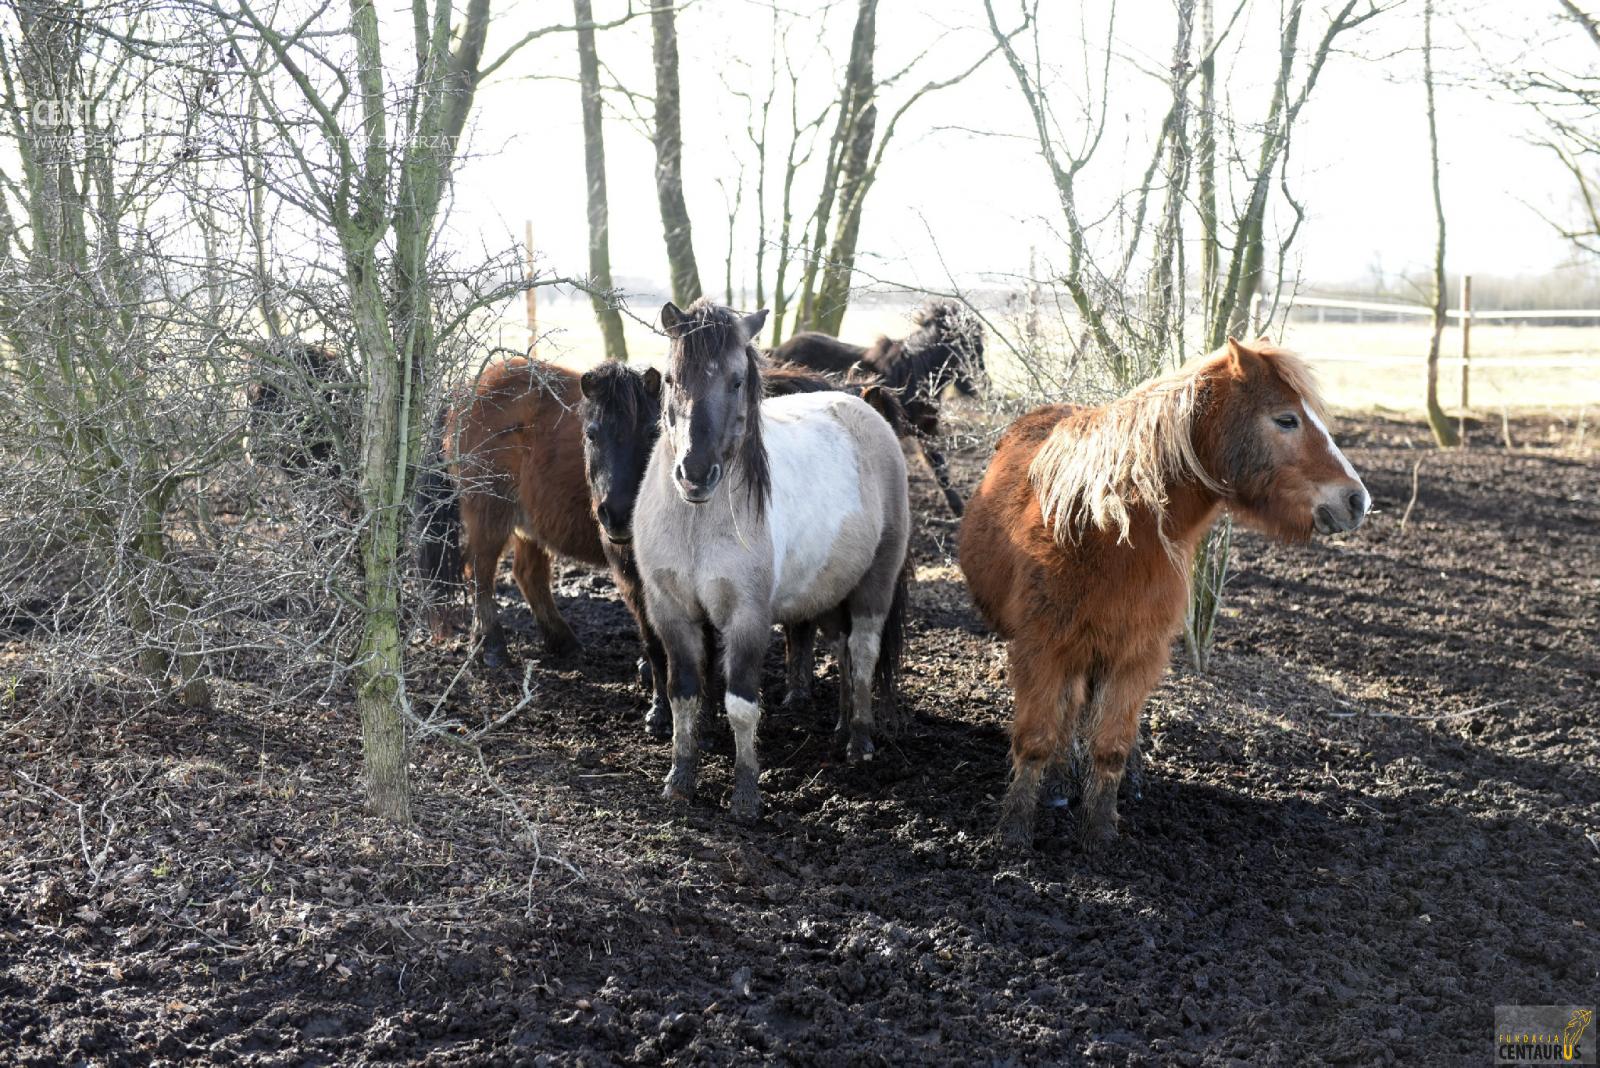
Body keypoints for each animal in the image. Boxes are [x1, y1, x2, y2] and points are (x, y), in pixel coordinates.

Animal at [415, 358, 607, 667]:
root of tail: (466, 389)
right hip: (491, 514)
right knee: (479, 571)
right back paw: (492, 644)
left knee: (528, 574)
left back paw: (562, 641)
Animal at [577, 359, 913, 737]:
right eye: (592, 434)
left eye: (651, 433)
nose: (617, 515)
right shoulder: (640, 588)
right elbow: (656, 647)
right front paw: (659, 713)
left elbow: (707, 655)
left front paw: (705, 720)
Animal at [632, 299, 911, 822]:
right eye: (671, 379)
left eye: (736, 381)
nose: (695, 473)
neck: (697, 522)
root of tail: (864, 409)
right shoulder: (672, 614)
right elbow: (684, 695)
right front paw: (680, 780)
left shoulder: (747, 619)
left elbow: (741, 705)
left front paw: (745, 796)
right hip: (830, 590)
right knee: (843, 649)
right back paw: (841, 727)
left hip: (875, 584)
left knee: (863, 651)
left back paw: (859, 740)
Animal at [773, 299, 984, 516]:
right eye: (968, 346)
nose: (982, 387)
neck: (914, 372)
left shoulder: (926, 429)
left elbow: (939, 466)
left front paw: (959, 508)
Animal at [957, 337, 1369, 851]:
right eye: (1287, 419)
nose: (1357, 500)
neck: (1110, 523)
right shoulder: (1044, 649)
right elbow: (1035, 739)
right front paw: (1013, 831)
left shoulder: (1137, 653)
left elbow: (1110, 745)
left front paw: (1100, 833)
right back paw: (1057, 785)